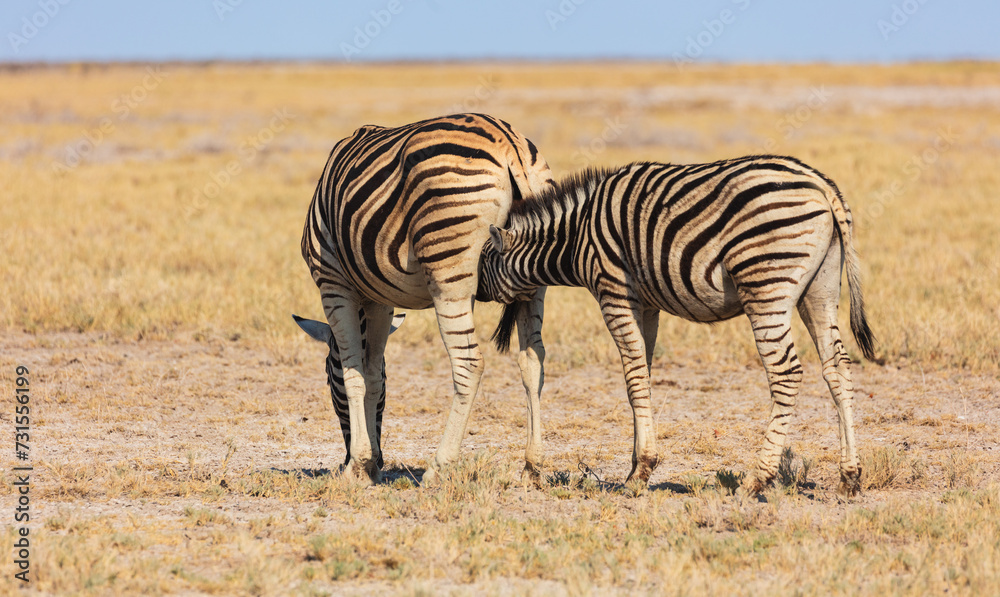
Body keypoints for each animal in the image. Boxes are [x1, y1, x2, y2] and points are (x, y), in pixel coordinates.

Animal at [477, 156, 875, 495]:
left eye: (483, 261)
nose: (474, 293)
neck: (576, 236)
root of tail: (821, 184)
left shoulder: (613, 291)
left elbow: (634, 375)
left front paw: (640, 471)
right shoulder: (647, 305)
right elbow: (641, 376)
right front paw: (636, 467)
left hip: (766, 283)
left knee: (786, 373)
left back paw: (757, 479)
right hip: (820, 288)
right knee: (837, 368)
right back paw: (849, 477)